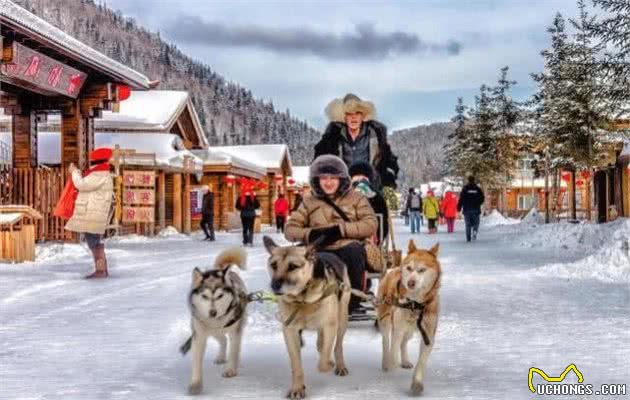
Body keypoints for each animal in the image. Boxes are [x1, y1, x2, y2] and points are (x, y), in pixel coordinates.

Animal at [262, 236, 350, 398]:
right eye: (273, 265)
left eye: (293, 266)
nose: (274, 286)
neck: (302, 300)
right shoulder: (290, 331)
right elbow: (296, 364)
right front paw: (297, 388)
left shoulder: (329, 325)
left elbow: (323, 363)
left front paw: (329, 364)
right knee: (321, 344)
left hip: (342, 318)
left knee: (337, 345)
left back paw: (339, 364)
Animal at [378, 239, 442, 396]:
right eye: (409, 268)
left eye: (422, 270)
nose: (410, 283)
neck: (415, 304)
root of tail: (393, 269)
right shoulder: (398, 329)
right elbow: (393, 352)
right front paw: (392, 366)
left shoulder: (428, 334)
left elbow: (421, 362)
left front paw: (417, 383)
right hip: (386, 320)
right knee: (386, 342)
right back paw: (386, 362)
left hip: (411, 330)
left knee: (404, 343)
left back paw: (405, 361)